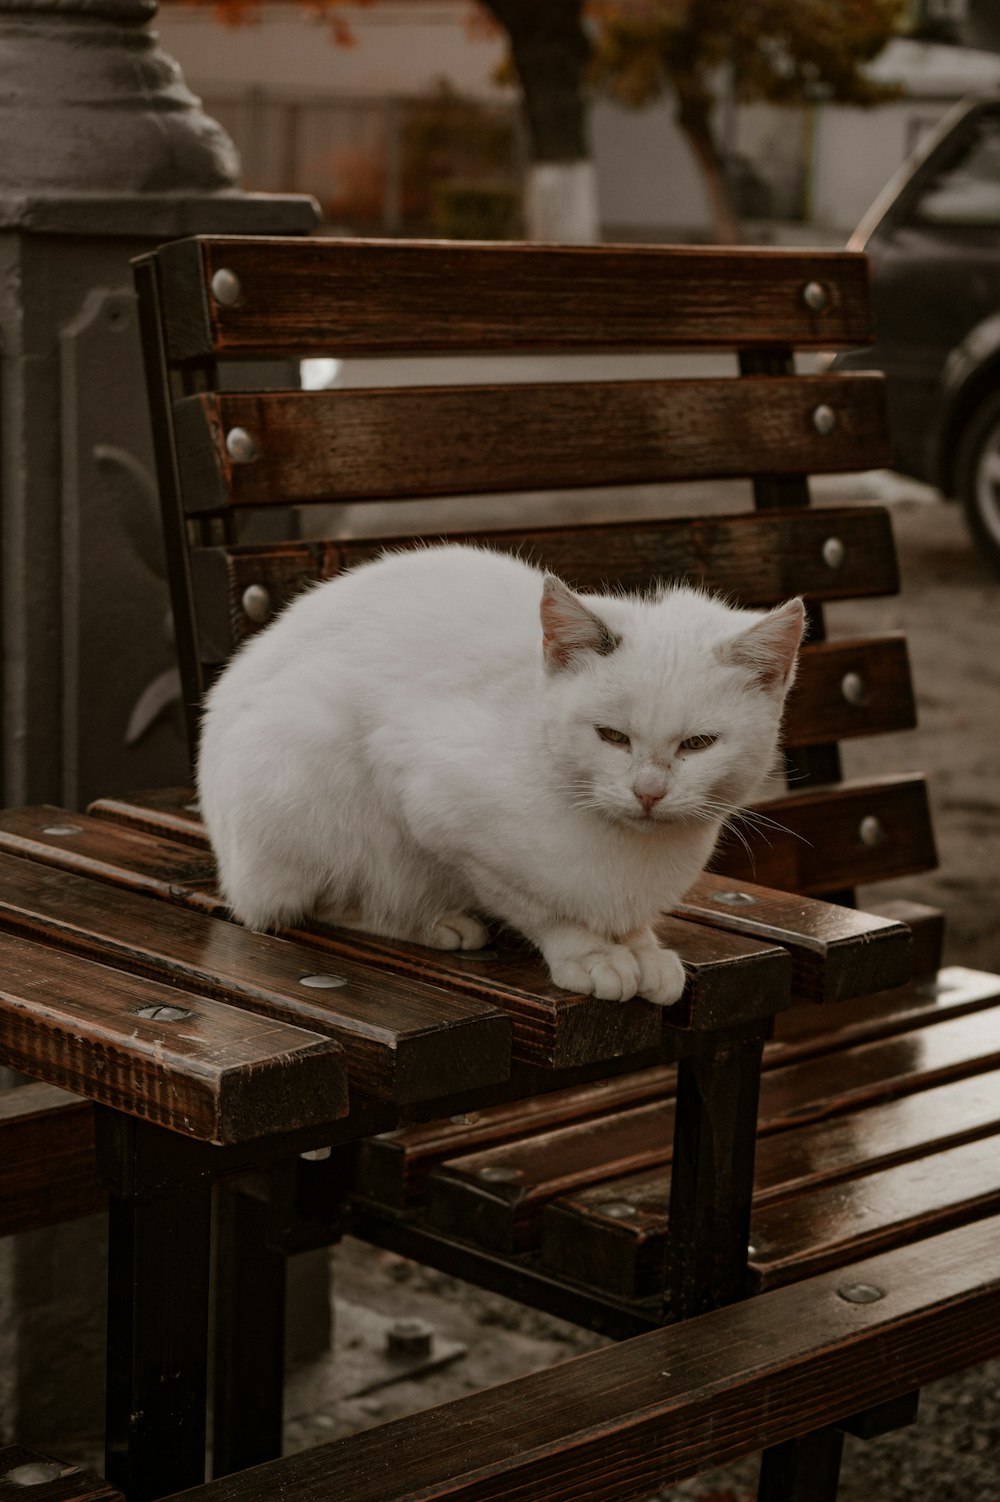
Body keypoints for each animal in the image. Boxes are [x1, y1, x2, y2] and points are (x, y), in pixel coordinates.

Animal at [196, 546, 804, 1003]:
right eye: (612, 736)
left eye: (698, 744)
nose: (648, 792)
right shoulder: (436, 808)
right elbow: (533, 904)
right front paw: (590, 954)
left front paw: (642, 948)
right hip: (305, 749)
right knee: (302, 904)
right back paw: (432, 922)